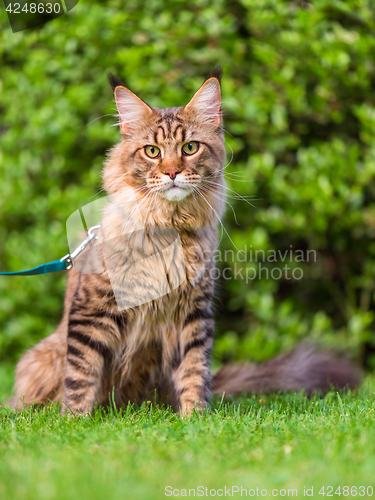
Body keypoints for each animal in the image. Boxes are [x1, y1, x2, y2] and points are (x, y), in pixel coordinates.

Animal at [10, 68, 360, 416]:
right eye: (152, 151)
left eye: (190, 148)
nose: (172, 172)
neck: (170, 227)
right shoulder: (93, 310)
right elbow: (81, 376)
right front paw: (74, 419)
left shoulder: (194, 311)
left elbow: (194, 370)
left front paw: (195, 416)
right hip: (42, 357)